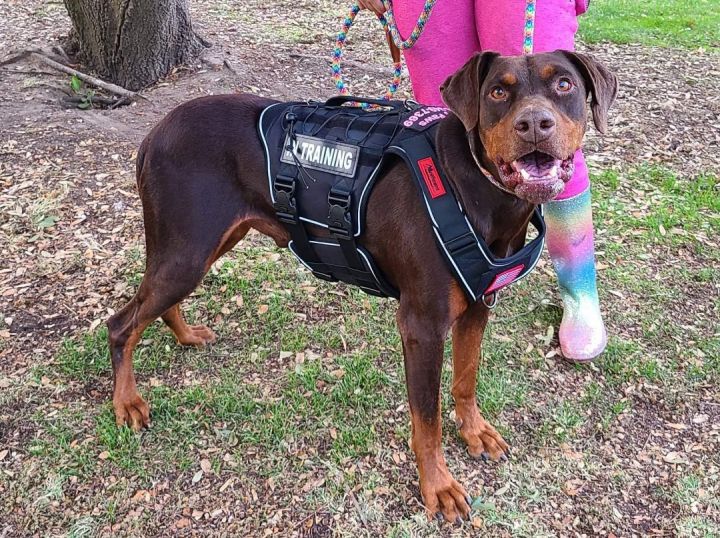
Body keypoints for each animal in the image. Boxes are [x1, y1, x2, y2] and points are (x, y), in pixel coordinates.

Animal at [108, 50, 620, 520]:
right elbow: (427, 419)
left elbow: (467, 378)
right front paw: (438, 486)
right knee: (121, 324)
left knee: (156, 301)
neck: (478, 190)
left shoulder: (478, 305)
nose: (534, 124)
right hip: (189, 246)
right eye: (498, 91)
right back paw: (127, 402)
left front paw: (474, 432)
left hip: (205, 242)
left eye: (564, 85)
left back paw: (185, 335)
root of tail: (154, 132)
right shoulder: (421, 325)